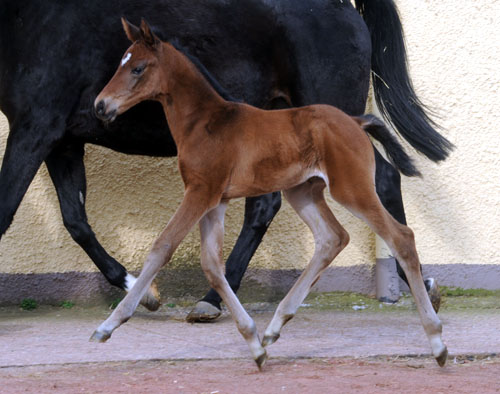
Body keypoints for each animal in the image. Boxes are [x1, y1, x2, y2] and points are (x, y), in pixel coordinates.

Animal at [0, 0, 452, 318]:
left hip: (332, 117)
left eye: (138, 68)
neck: (30, 17)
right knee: (272, 203)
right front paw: (142, 291)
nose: (102, 107)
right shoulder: (60, 141)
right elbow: (75, 221)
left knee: (382, 178)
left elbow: (7, 210)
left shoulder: (35, 127)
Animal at [92, 18, 448, 370]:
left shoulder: (199, 192)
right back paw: (274, 328)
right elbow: (212, 265)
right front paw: (253, 344)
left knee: (401, 237)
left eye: (138, 68)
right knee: (333, 238)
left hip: (352, 188)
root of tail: (356, 120)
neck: (206, 121)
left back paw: (438, 342)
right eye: (122, 62)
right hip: (302, 192)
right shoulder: (215, 199)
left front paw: (108, 326)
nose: (100, 106)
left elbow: (162, 247)